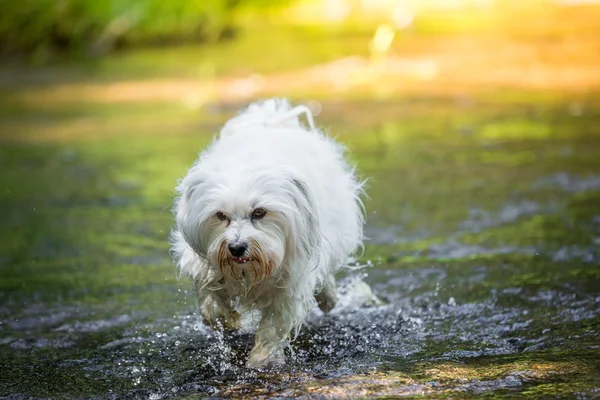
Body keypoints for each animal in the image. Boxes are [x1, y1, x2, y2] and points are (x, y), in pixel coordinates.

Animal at [170, 98, 366, 368]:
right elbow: (209, 296)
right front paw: (227, 320)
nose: (236, 248)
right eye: (220, 215)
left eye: (259, 212)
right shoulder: (200, 262)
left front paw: (262, 359)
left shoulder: (293, 278)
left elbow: (275, 322)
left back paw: (329, 298)